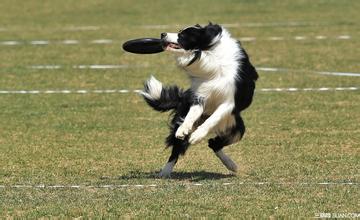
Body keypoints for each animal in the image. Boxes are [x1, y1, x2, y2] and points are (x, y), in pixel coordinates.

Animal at [141, 22, 258, 177]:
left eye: (183, 35)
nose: (162, 34)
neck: (208, 54)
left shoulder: (229, 102)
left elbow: (214, 118)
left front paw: (197, 135)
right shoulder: (200, 96)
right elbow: (191, 115)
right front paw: (183, 129)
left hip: (235, 128)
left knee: (213, 143)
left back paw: (231, 165)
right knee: (178, 149)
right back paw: (165, 172)